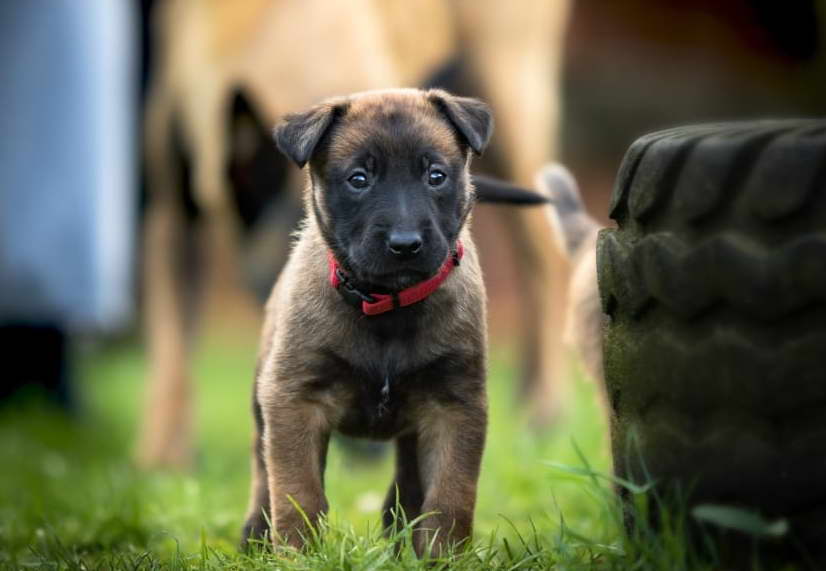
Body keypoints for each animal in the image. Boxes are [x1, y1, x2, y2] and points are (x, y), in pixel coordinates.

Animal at [243, 89, 490, 560]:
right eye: (358, 179)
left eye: (436, 176)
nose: (405, 244)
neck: (387, 308)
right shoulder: (295, 400)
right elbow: (298, 492)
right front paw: (300, 555)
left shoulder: (455, 405)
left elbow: (450, 496)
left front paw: (444, 557)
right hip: (264, 407)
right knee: (264, 480)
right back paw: (254, 539)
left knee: (408, 488)